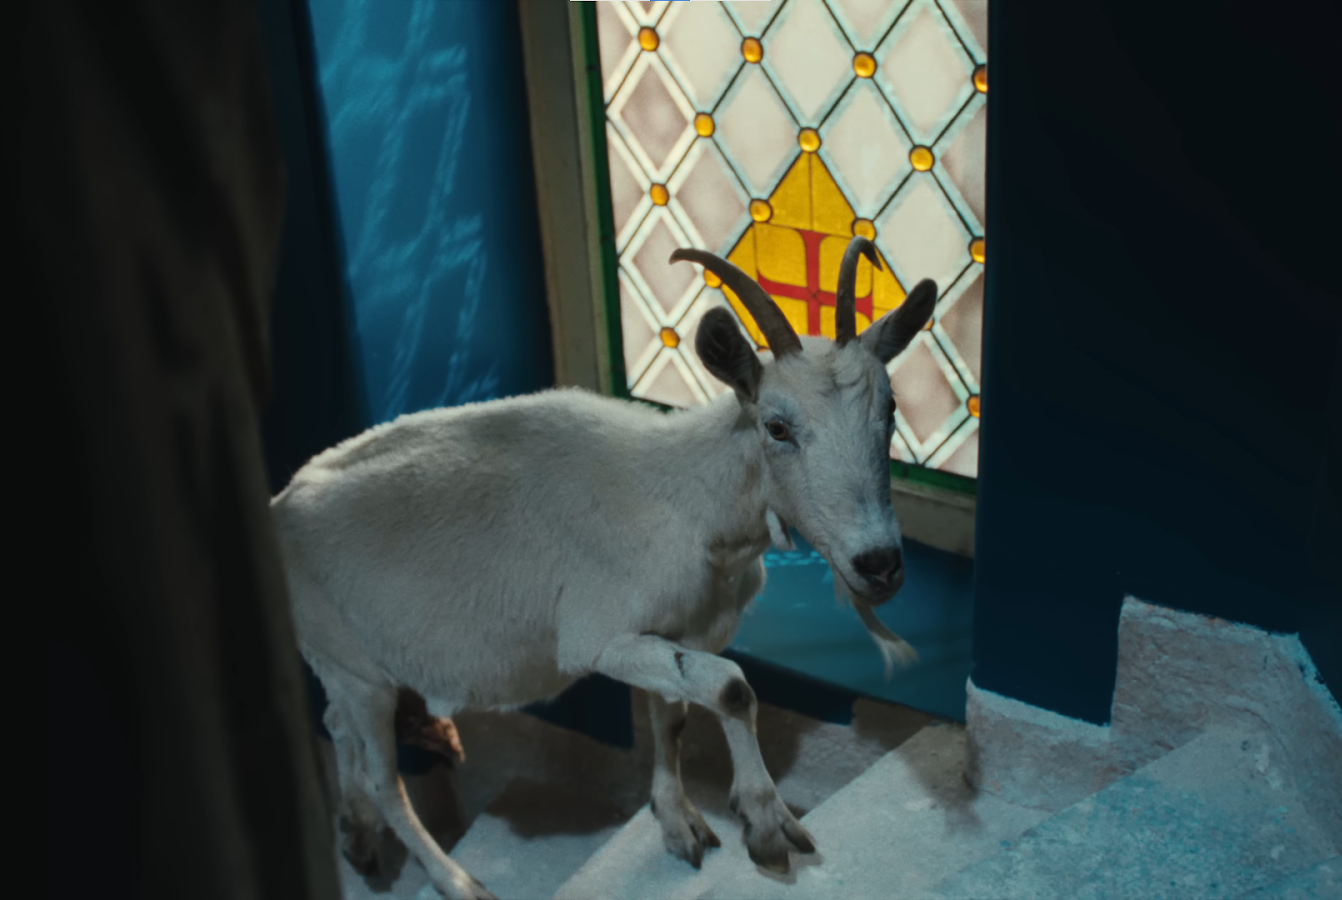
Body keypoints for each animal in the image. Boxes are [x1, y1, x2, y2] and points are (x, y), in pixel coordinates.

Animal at [271, 236, 937, 900]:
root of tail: (279, 506)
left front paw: (679, 822)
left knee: (338, 728)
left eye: (891, 409)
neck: (687, 492)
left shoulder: (680, 630)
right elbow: (731, 686)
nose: (879, 564)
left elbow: (672, 713)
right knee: (383, 777)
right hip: (358, 669)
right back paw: (455, 880)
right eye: (776, 426)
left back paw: (357, 837)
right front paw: (767, 824)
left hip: (341, 669)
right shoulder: (598, 637)